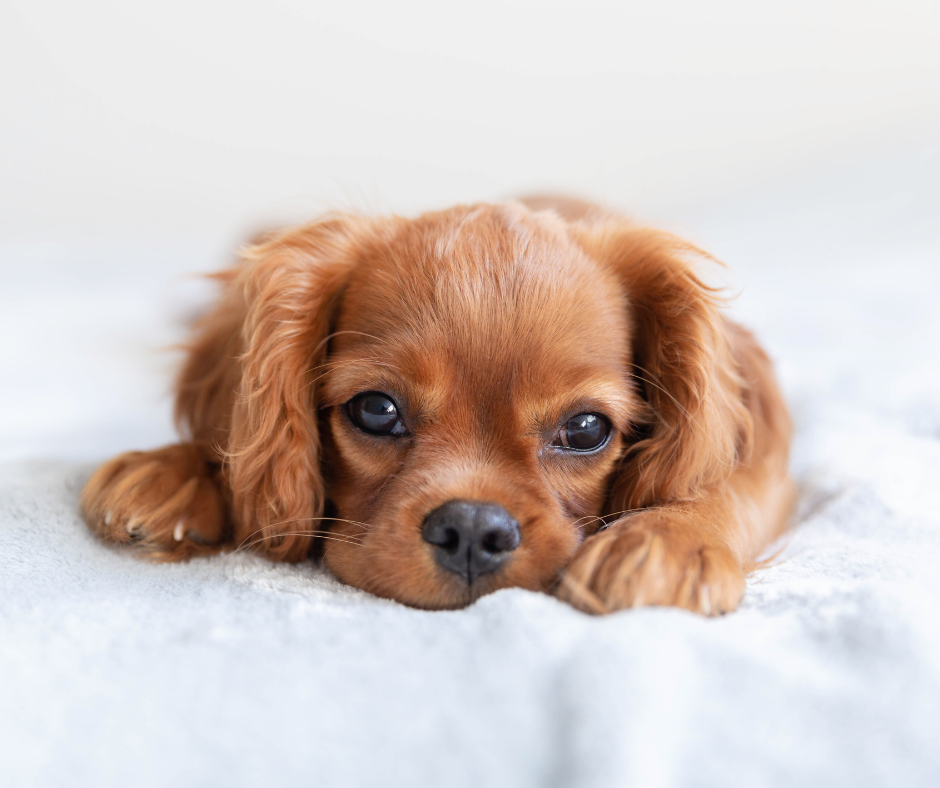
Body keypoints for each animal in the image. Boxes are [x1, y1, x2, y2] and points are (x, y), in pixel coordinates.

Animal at [81, 199, 792, 616]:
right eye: (376, 410)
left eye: (586, 427)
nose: (472, 530)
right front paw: (176, 471)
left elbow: (725, 485)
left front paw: (667, 543)